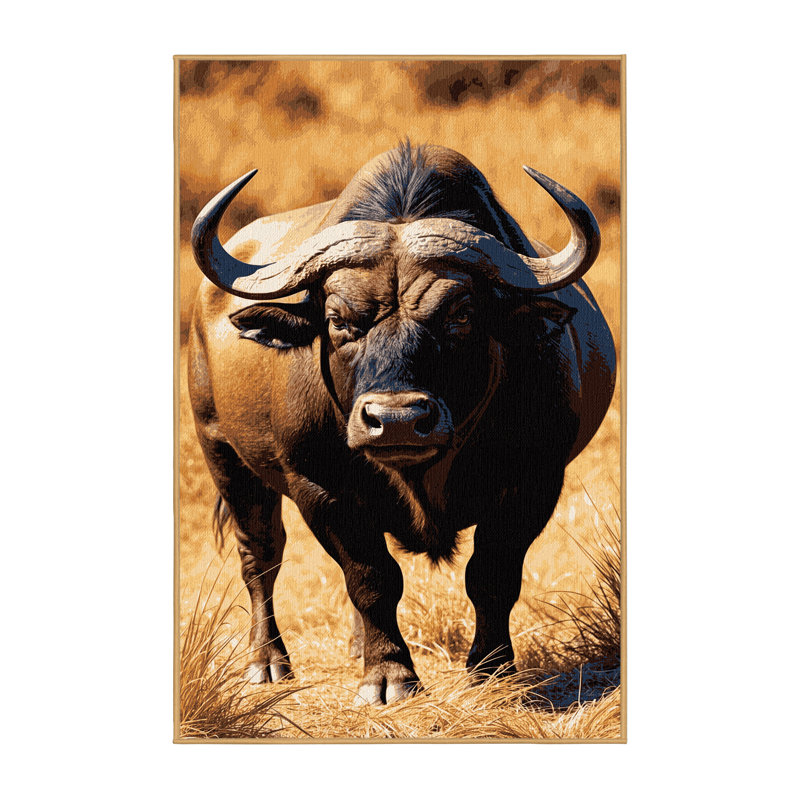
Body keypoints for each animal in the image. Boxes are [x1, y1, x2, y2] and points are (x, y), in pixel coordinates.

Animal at [188, 142, 616, 705]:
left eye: (460, 314)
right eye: (339, 319)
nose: (395, 421)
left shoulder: (535, 480)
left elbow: (492, 575)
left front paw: (492, 670)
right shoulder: (320, 488)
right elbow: (372, 577)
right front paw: (388, 675)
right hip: (223, 454)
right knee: (260, 555)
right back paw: (268, 662)